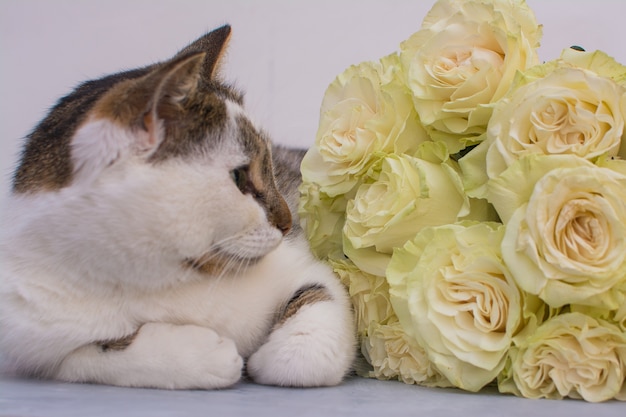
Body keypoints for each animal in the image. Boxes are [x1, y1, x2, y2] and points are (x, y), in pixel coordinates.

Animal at [0, 25, 354, 390]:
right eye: (240, 176)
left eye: (271, 166)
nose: (286, 223)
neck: (168, 277)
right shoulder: (32, 339)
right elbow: (92, 355)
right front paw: (205, 356)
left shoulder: (307, 268)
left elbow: (305, 351)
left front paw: (264, 358)